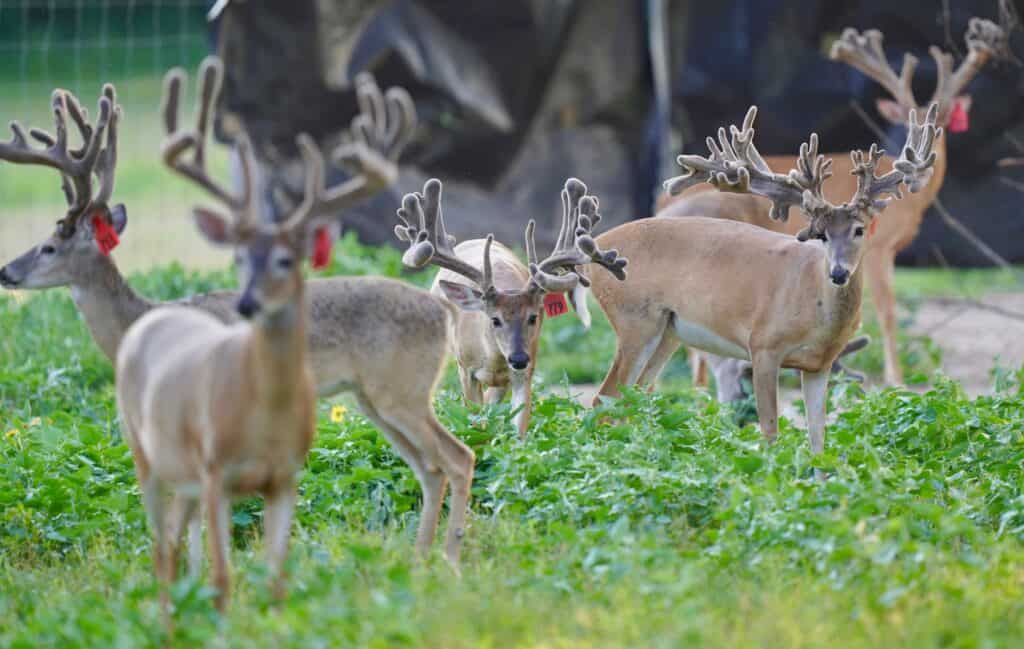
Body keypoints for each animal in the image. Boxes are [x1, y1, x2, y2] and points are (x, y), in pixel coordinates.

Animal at [394, 177, 627, 439]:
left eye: (533, 317)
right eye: (494, 319)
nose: (518, 358)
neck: (493, 360)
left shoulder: (526, 371)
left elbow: (518, 429)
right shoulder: (466, 369)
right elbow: (473, 421)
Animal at [584, 102, 941, 454]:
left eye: (859, 229)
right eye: (822, 235)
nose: (839, 272)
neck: (814, 302)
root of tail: (598, 249)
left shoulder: (820, 364)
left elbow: (818, 438)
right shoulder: (764, 345)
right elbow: (770, 430)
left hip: (667, 332)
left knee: (633, 398)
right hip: (634, 321)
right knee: (603, 399)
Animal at [658, 17, 1003, 387]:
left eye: (944, 122)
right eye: (918, 123)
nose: (924, 164)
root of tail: (662, 202)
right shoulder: (880, 247)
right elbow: (887, 312)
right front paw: (895, 379)